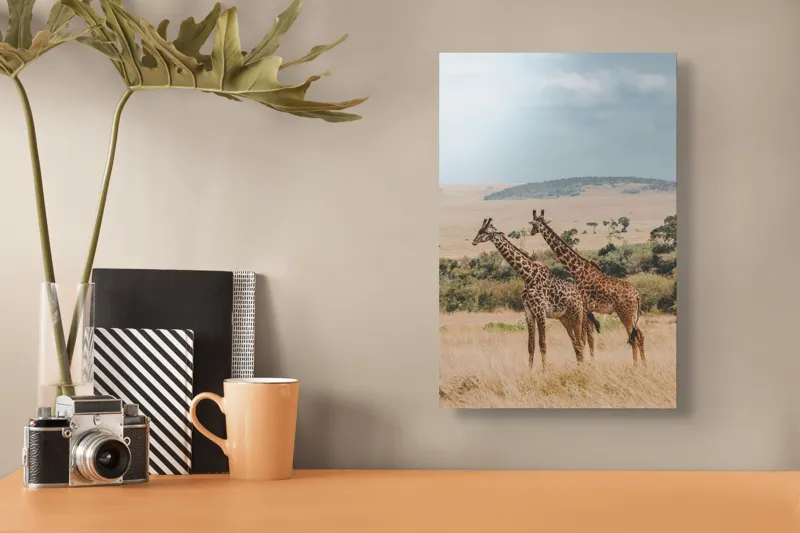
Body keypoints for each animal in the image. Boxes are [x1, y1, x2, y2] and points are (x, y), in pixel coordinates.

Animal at [472, 218, 598, 368]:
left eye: (485, 232)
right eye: (479, 230)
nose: (474, 241)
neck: (528, 276)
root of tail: (580, 295)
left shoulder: (541, 312)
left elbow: (542, 344)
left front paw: (544, 371)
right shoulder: (529, 312)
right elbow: (530, 345)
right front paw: (530, 370)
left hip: (578, 314)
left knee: (581, 341)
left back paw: (583, 367)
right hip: (565, 317)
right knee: (577, 343)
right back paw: (580, 366)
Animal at [529, 209, 646, 366]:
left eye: (534, 224)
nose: (531, 232)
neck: (575, 268)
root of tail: (637, 296)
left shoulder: (583, 308)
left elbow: (584, 338)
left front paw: (585, 363)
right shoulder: (587, 309)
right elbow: (589, 337)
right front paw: (590, 362)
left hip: (625, 314)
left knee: (633, 338)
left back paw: (635, 366)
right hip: (633, 315)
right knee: (640, 335)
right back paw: (644, 365)